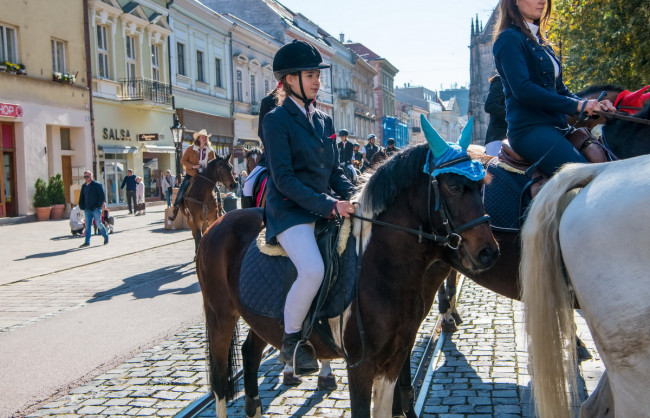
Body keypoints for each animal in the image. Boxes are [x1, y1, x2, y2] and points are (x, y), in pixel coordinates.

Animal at [192, 115, 496, 418]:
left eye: (481, 186)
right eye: (454, 186)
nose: (489, 252)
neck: (380, 266)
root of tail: (218, 224)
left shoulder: (395, 359)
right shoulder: (360, 365)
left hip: (259, 318)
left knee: (250, 355)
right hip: (220, 316)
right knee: (219, 381)